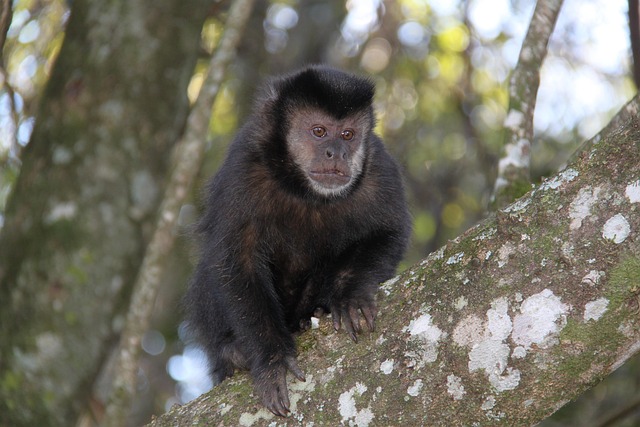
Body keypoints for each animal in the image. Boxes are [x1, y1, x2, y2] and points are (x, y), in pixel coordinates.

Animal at [185, 65, 411, 416]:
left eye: (348, 134)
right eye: (318, 131)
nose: (337, 152)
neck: (304, 190)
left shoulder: (378, 168)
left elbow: (387, 232)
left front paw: (350, 296)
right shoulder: (243, 166)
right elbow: (234, 260)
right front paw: (272, 360)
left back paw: (311, 316)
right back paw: (232, 352)